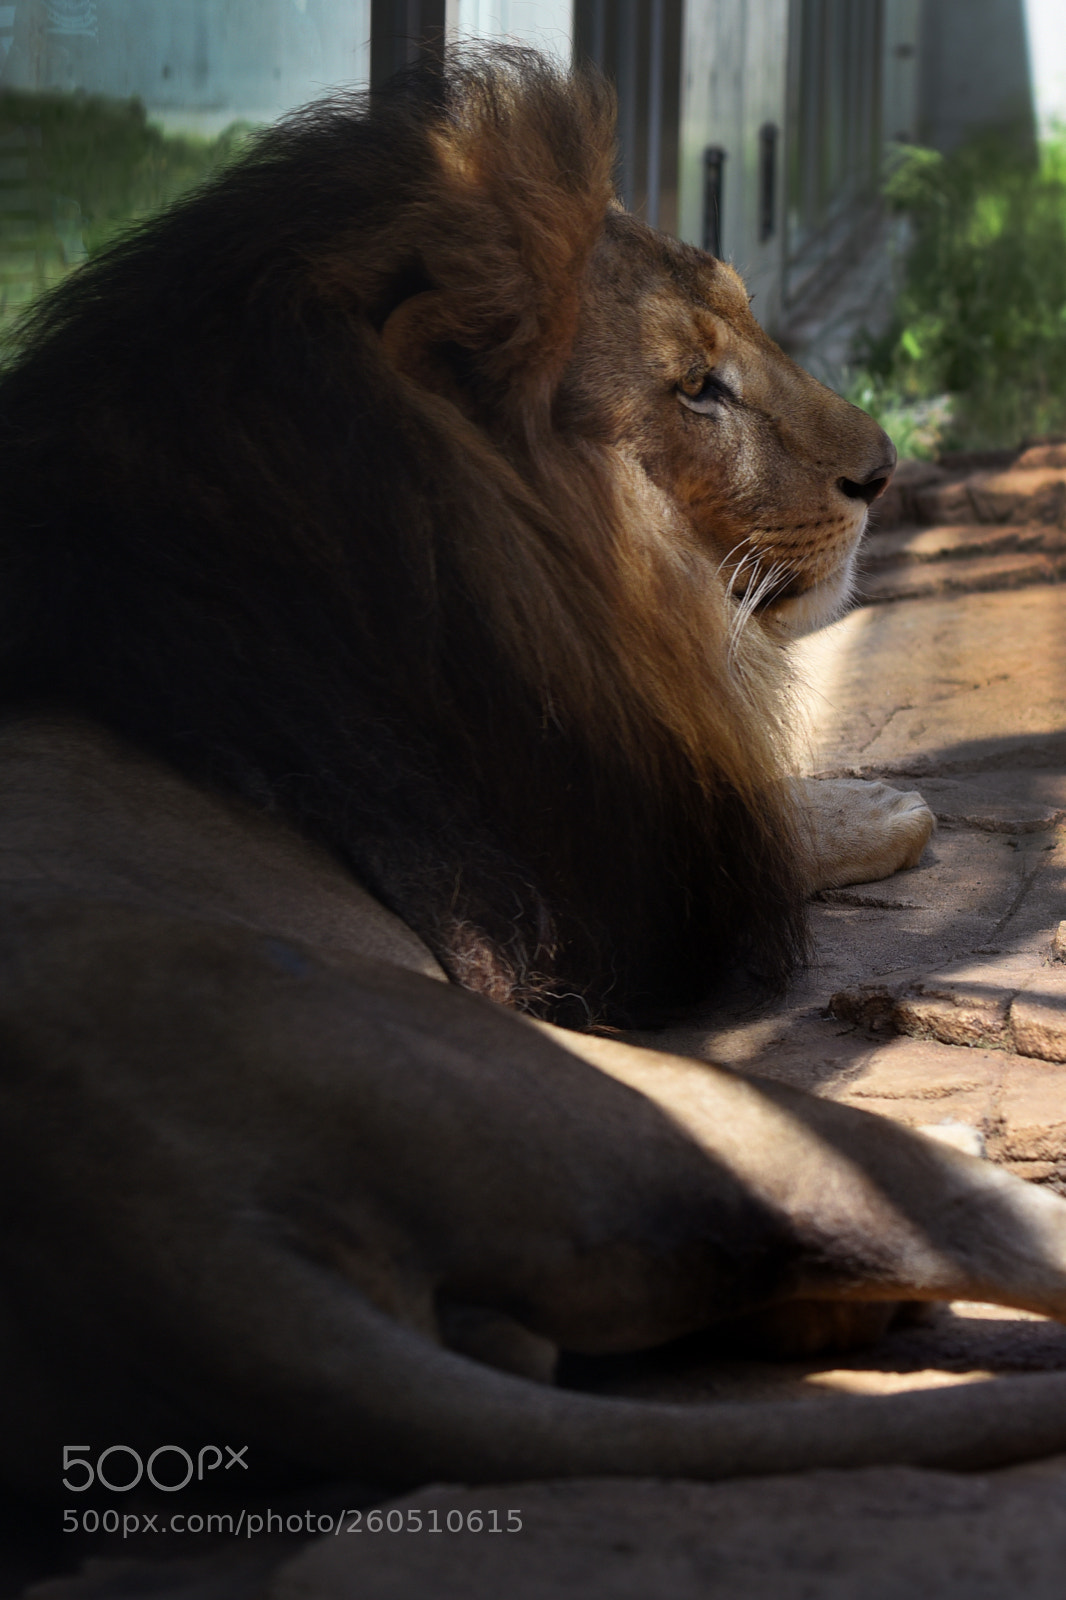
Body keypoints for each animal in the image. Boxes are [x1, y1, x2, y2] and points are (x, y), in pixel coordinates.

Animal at [2, 49, 1066, 1500]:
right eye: (695, 388)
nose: (885, 474)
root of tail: (149, 1218)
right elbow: (759, 824)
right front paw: (877, 804)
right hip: (642, 1092)